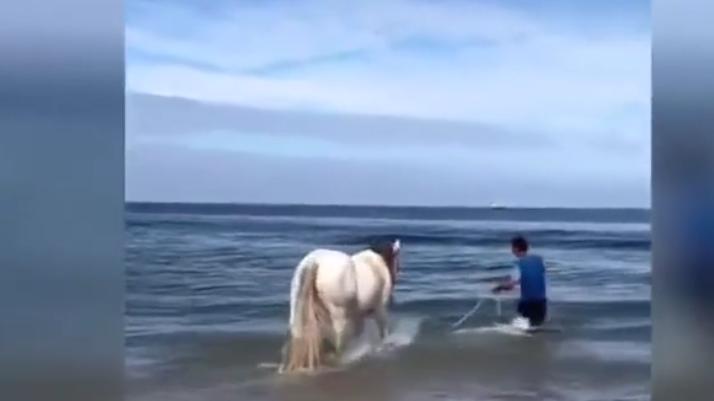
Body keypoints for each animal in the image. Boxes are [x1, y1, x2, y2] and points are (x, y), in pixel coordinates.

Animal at [279, 238, 401, 373]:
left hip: (298, 313)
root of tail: (315, 263)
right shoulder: (380, 309)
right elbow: (383, 331)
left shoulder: (358, 316)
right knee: (338, 344)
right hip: (339, 317)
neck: (376, 264)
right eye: (397, 263)